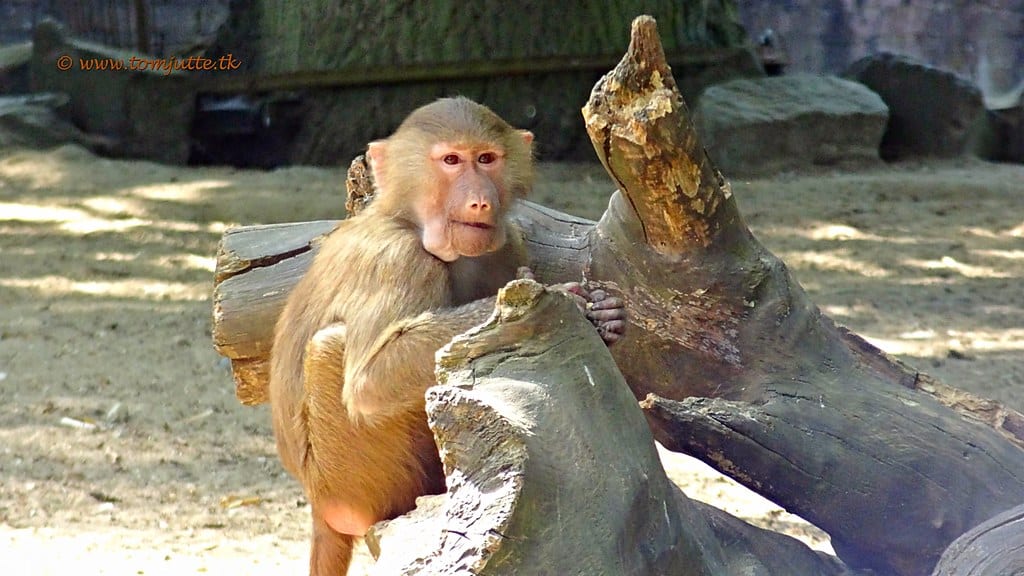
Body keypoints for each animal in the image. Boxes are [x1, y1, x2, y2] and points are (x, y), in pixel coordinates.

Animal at [268, 97, 626, 575]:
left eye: (486, 159)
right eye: (452, 161)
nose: (479, 202)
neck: (409, 222)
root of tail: (318, 505)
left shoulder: (505, 242)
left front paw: (607, 315)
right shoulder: (398, 258)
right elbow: (370, 380)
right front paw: (537, 311)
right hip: (350, 486)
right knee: (330, 348)